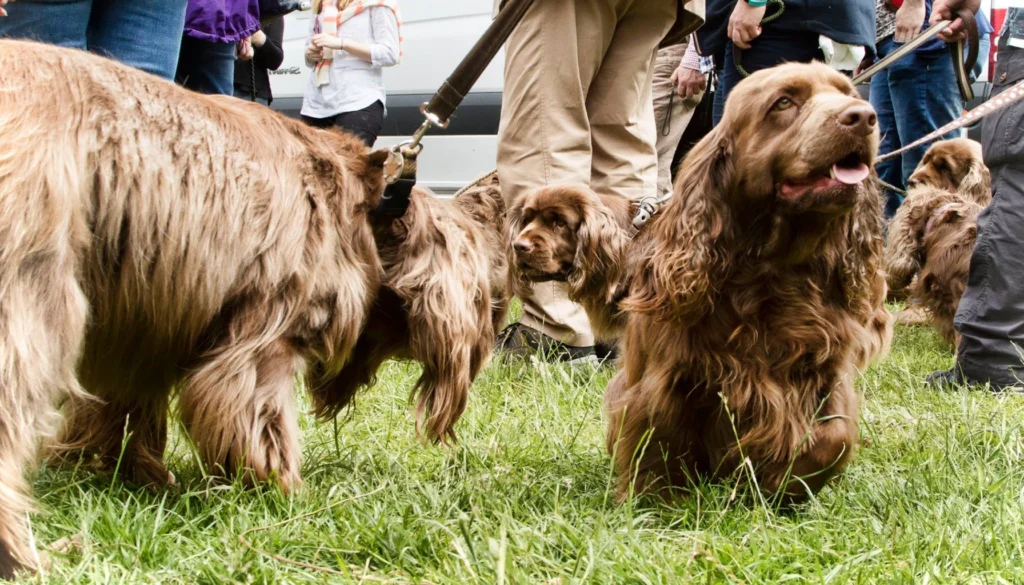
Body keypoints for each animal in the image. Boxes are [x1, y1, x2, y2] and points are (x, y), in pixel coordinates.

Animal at [0, 41, 454, 577]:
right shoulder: (264, 332)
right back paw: (28, 552)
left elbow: (125, 405)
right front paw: (283, 489)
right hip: (35, 285)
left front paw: (129, 472)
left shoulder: (146, 320)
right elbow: (256, 412)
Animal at [602, 63, 892, 504]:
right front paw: (654, 501)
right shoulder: (668, 374)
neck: (777, 268)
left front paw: (782, 482)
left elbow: (834, 437)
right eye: (784, 102)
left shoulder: (826, 369)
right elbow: (657, 438)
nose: (862, 116)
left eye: (848, 93)